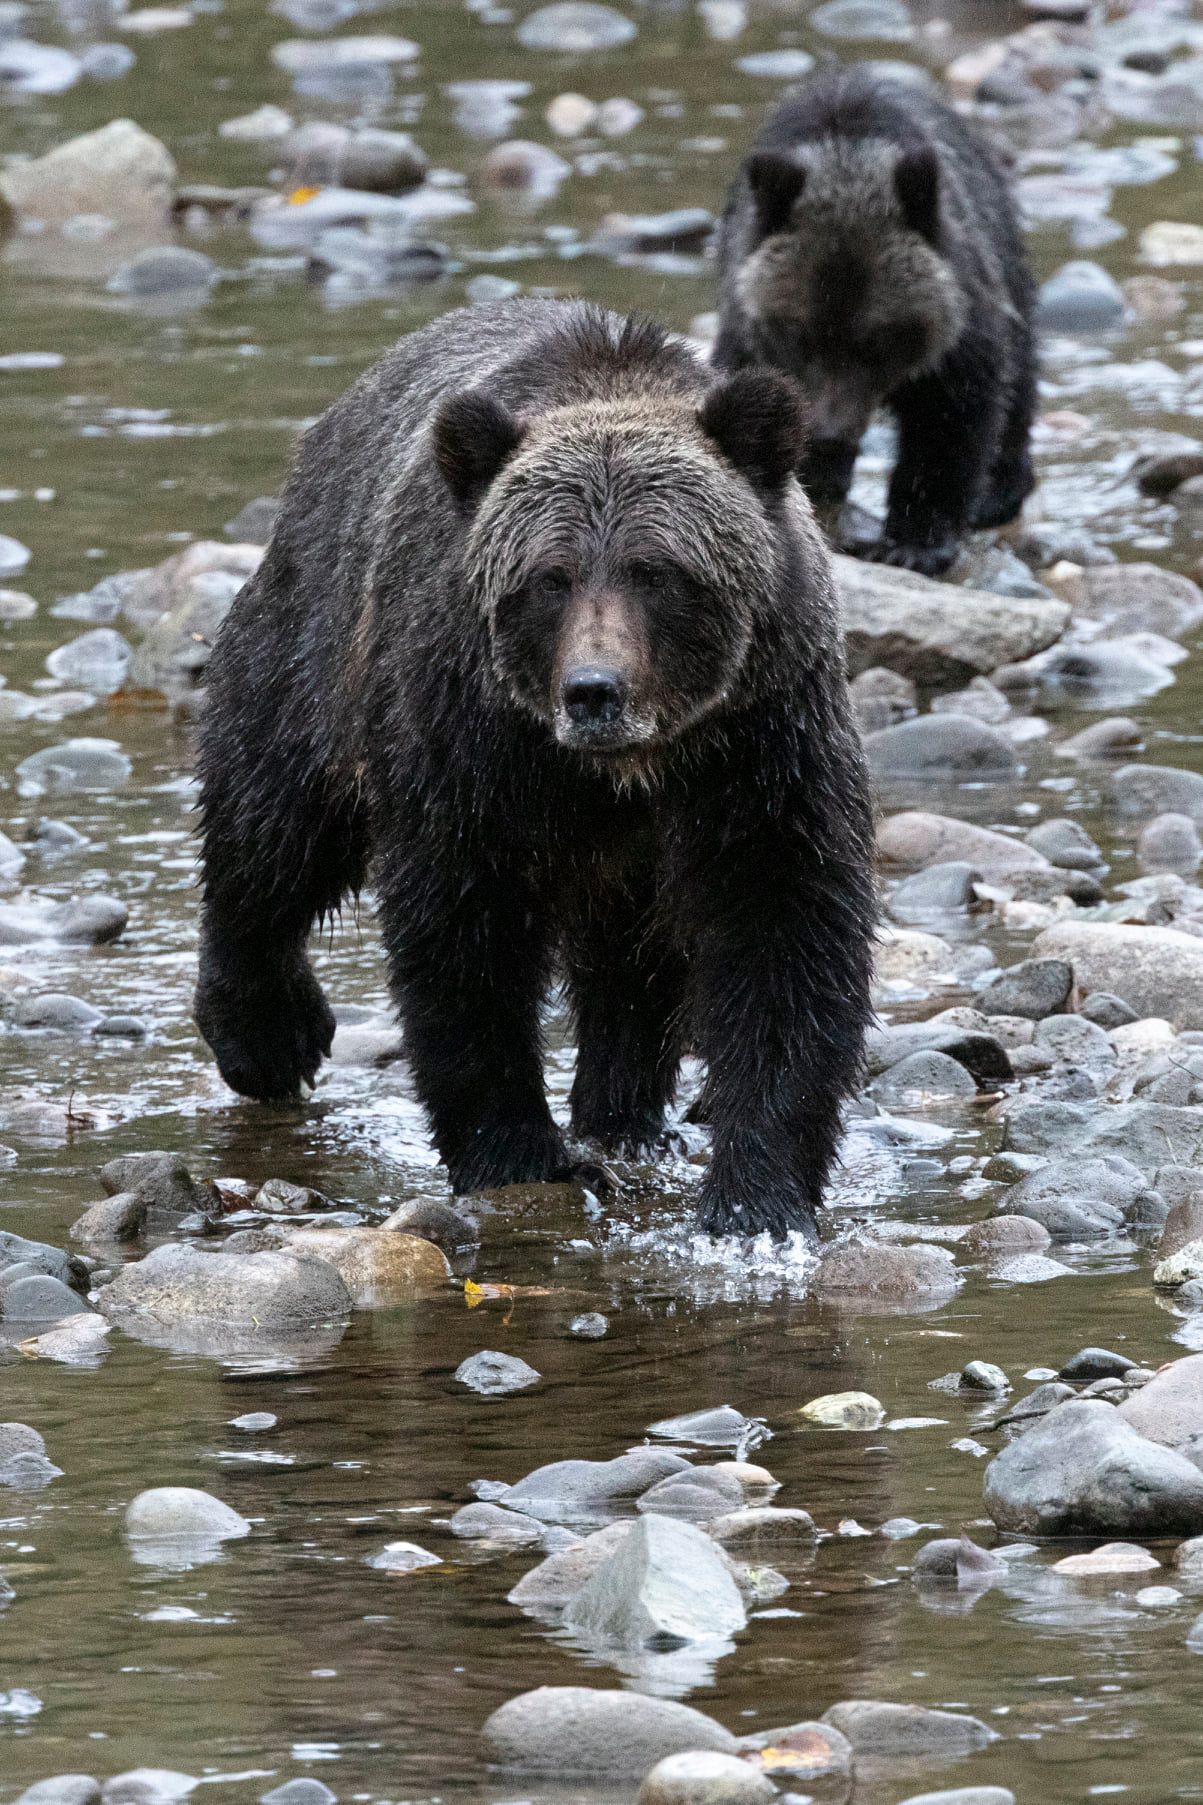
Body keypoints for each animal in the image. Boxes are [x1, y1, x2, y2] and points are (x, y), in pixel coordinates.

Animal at [194, 298, 876, 1241]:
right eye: (550, 577)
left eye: (656, 570)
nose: (593, 690)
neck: (624, 768)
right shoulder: (470, 741)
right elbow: (465, 928)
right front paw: (520, 1153)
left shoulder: (759, 742)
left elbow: (785, 925)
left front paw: (755, 1196)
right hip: (319, 643)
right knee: (274, 822)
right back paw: (266, 1033)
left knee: (630, 952)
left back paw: (625, 1114)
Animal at [714, 65, 1037, 578]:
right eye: (798, 335)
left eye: (877, 338)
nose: (828, 434)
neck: (846, 160)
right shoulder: (748, 336)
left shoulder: (960, 325)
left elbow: (949, 422)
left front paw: (916, 542)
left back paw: (999, 492)